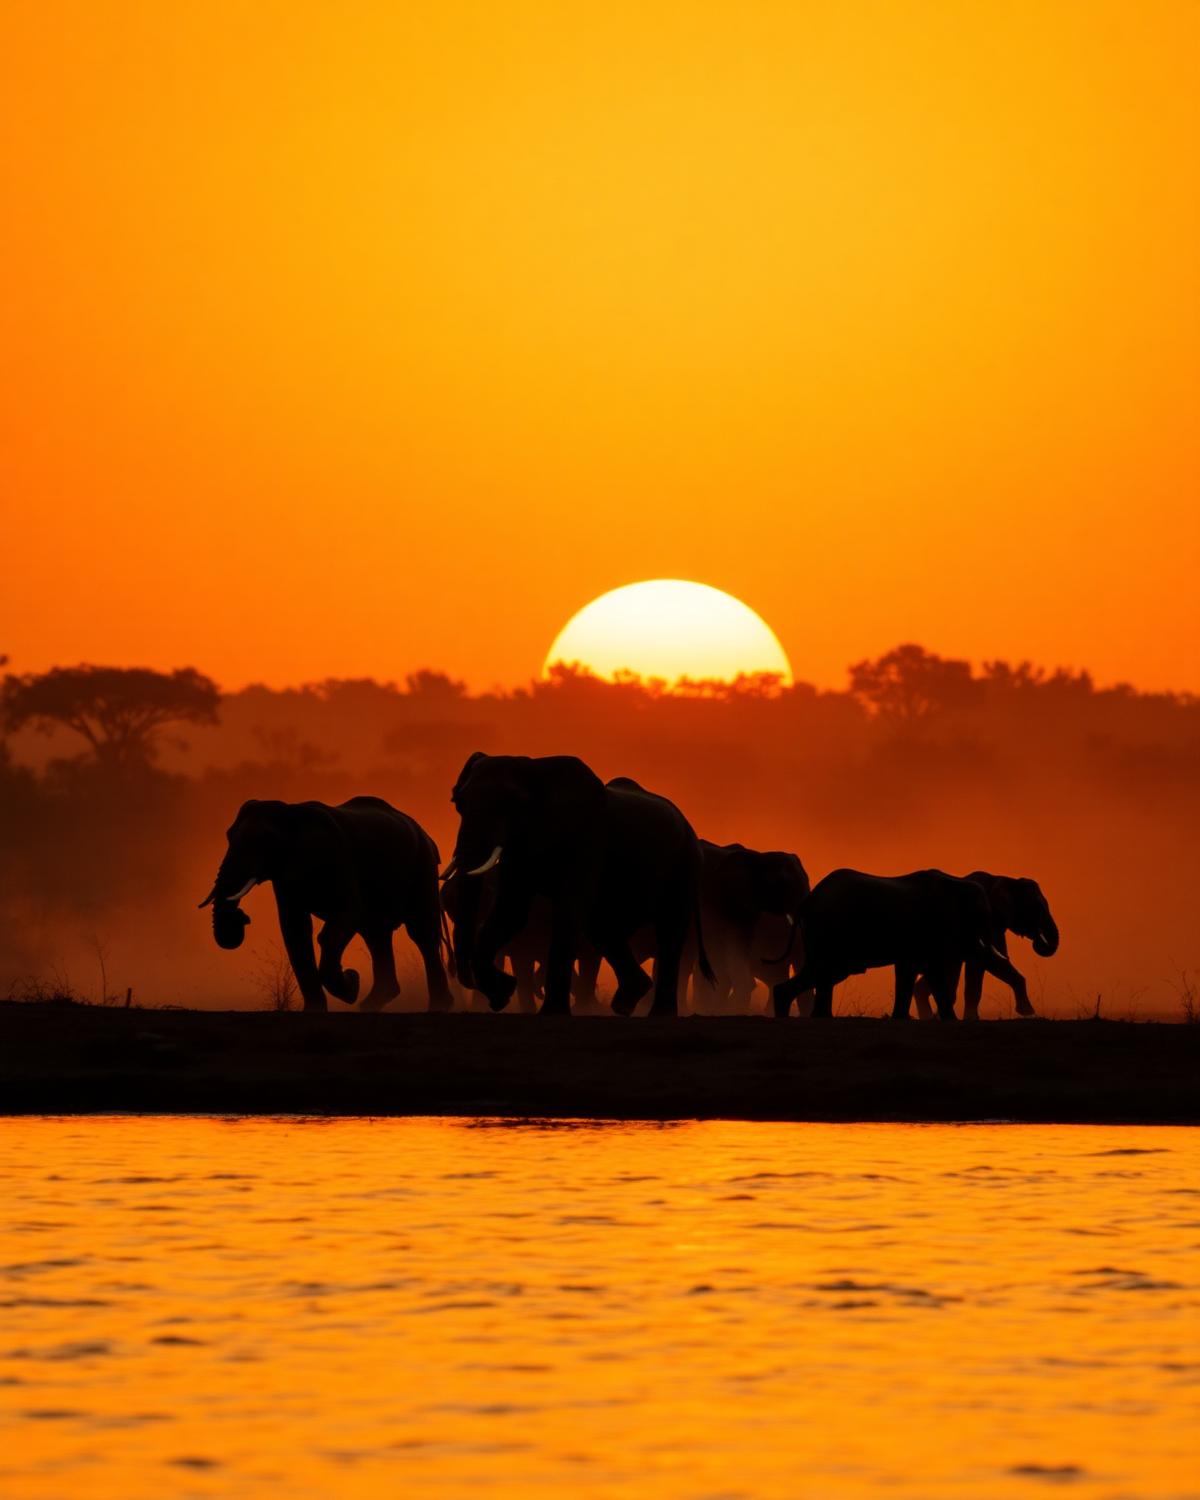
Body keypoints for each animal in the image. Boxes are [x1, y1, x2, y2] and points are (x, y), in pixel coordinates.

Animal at [199, 796, 453, 1013]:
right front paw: (316, 1009)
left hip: (422, 865)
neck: (290, 813)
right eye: (229, 835)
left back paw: (438, 1007)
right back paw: (369, 1005)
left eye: (265, 841)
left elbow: (346, 915)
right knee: (375, 934)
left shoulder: (338, 860)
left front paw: (351, 985)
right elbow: (294, 930)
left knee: (421, 933)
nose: (241, 917)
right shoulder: (286, 877)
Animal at [443, 753, 712, 1017]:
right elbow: (510, 911)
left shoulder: (587, 839)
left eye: (512, 804)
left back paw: (658, 1013)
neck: (534, 768)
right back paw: (625, 1003)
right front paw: (503, 993)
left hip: (684, 866)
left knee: (668, 931)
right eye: (458, 803)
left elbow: (568, 909)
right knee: (601, 928)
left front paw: (550, 1013)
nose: (495, 998)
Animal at [771, 867, 1023, 1020]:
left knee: (822, 972)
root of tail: (807, 901)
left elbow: (913, 969)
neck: (956, 882)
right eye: (982, 915)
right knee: (824, 971)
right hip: (829, 930)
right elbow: (928, 969)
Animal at [912, 872, 1058, 1020]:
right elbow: (987, 960)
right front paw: (1028, 1012)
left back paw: (928, 1017)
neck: (1004, 880)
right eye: (1037, 908)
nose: (1038, 942)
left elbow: (996, 959)